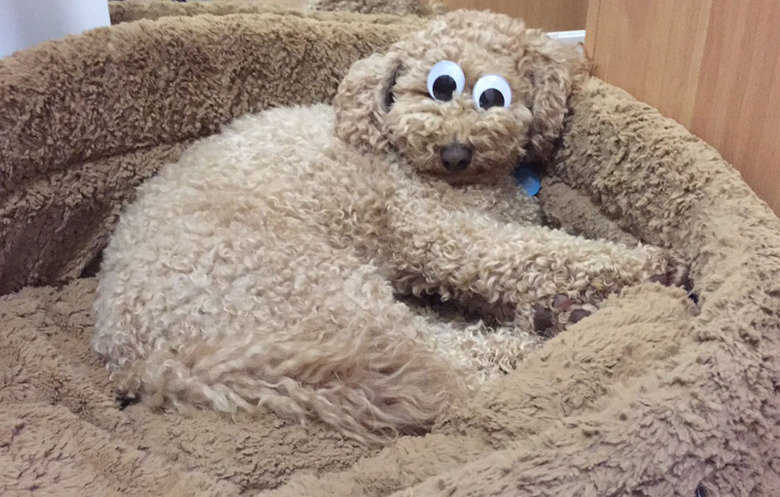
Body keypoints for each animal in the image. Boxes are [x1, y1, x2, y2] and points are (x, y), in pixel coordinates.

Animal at [93, 11, 688, 442]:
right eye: (437, 87)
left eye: (492, 95)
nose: (454, 151)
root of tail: (142, 358)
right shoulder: (444, 234)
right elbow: (542, 252)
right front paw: (652, 263)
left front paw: (555, 302)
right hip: (315, 283)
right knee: (449, 366)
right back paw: (538, 340)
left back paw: (556, 318)